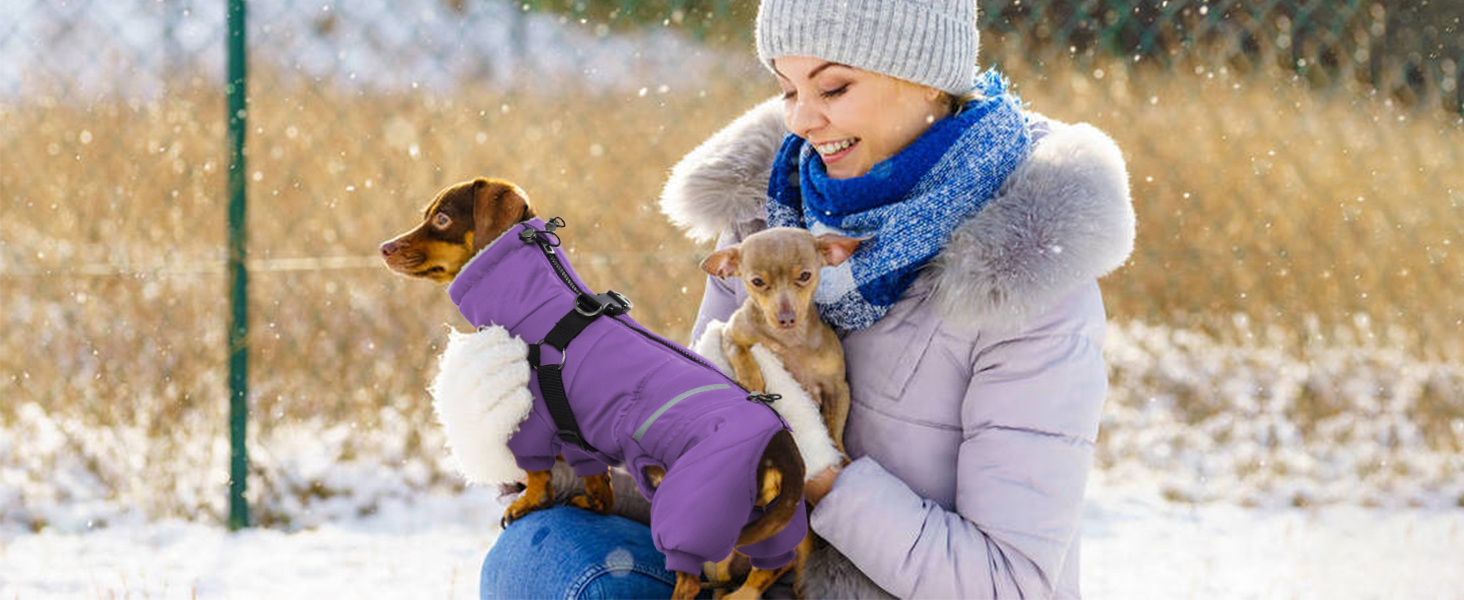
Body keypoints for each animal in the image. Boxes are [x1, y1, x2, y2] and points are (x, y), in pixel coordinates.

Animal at [383, 177, 808, 600]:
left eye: (441, 219)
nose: (385, 248)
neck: (543, 305)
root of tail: (781, 448)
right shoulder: (576, 434)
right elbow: (597, 481)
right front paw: (594, 502)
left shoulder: (533, 422)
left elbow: (536, 473)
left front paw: (527, 503)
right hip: (765, 523)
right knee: (772, 564)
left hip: (691, 510)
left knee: (689, 581)